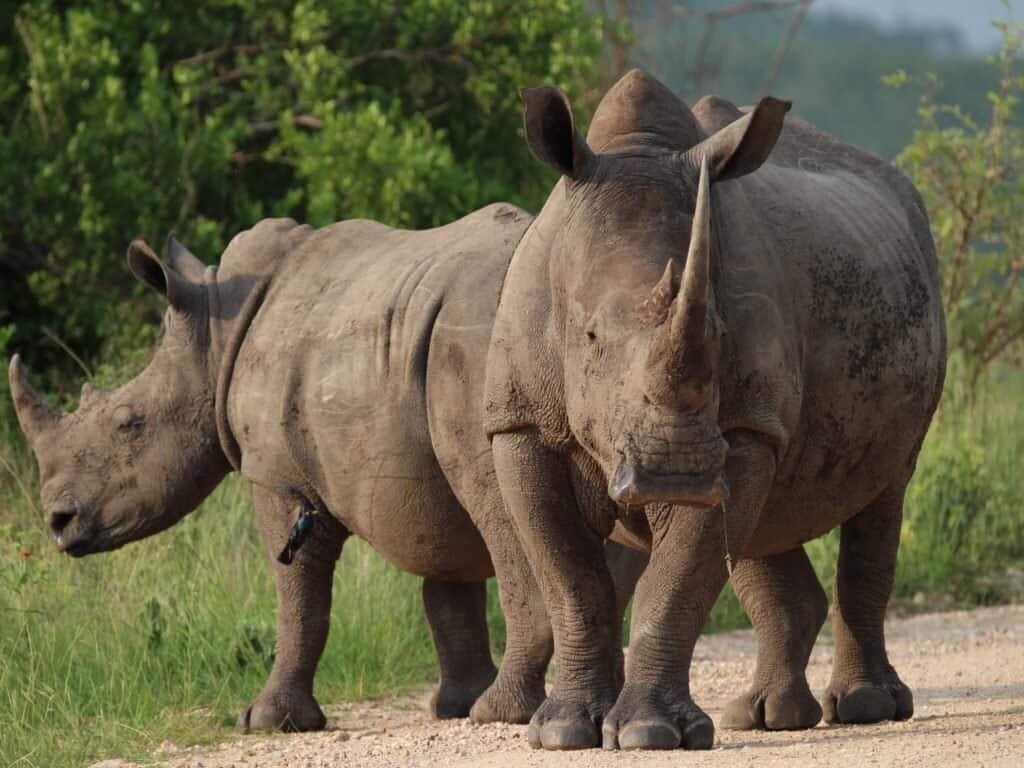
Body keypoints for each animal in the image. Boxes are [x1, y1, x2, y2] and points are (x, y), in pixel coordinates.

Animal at [8, 205, 646, 732]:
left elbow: (298, 596)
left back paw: (503, 714)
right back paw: (576, 706)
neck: (213, 334)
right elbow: (447, 582)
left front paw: (267, 721)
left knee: (506, 517)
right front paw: (453, 705)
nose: (57, 521)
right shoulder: (420, 468)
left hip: (492, 347)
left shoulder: (276, 475)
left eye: (129, 423)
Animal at [483, 70, 947, 750]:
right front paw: (565, 732)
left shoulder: (741, 427)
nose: (675, 471)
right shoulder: (521, 424)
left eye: (719, 334)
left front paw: (648, 735)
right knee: (770, 519)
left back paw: (864, 707)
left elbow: (676, 580)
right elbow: (570, 580)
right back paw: (766, 717)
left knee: (884, 490)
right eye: (589, 338)